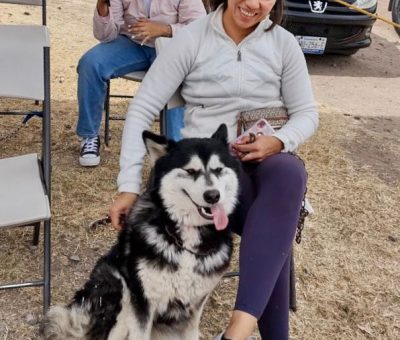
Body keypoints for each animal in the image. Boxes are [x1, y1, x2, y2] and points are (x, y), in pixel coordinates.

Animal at [42, 125, 239, 340]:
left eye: (218, 169)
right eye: (190, 171)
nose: (213, 196)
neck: (183, 243)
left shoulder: (195, 306)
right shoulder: (143, 301)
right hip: (121, 294)